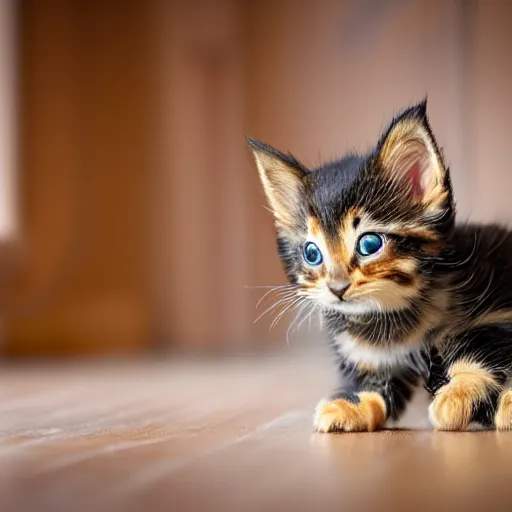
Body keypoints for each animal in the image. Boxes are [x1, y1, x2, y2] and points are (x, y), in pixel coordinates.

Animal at [248, 101, 512, 432]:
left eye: (370, 245)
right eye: (312, 253)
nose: (337, 288)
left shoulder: (497, 313)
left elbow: (476, 347)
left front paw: (459, 396)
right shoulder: (368, 357)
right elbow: (372, 387)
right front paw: (350, 405)